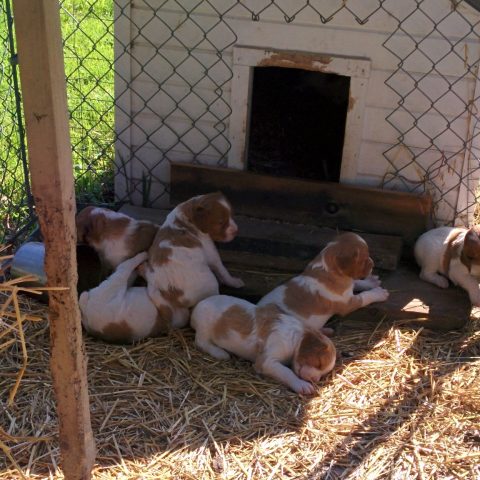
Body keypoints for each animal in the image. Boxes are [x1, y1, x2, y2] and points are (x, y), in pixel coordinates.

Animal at [143, 190, 244, 330]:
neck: (186, 216)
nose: (236, 230)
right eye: (220, 222)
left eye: (231, 215)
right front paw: (234, 281)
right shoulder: (211, 253)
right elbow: (223, 271)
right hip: (211, 282)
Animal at [189, 296, 336, 394]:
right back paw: (220, 353)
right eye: (319, 363)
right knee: (201, 342)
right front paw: (302, 385)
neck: (295, 338)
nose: (315, 380)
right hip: (205, 326)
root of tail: (196, 307)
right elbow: (286, 371)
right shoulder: (267, 361)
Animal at [256, 232, 388, 330]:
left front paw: (371, 282)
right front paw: (379, 293)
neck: (328, 270)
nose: (373, 264)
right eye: (364, 259)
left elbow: (356, 282)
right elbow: (365, 296)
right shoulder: (348, 304)